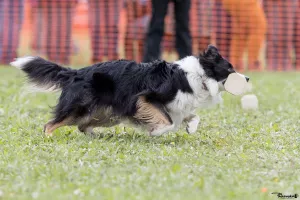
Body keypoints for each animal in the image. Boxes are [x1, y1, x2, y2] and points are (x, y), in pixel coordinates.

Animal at [10, 44, 248, 137]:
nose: (247, 78)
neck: (198, 75)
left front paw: (190, 128)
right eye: (230, 69)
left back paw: (95, 136)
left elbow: (191, 116)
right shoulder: (146, 97)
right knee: (50, 124)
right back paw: (49, 136)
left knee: (82, 126)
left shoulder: (178, 105)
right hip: (80, 106)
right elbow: (168, 122)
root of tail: (76, 72)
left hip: (107, 114)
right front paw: (156, 132)